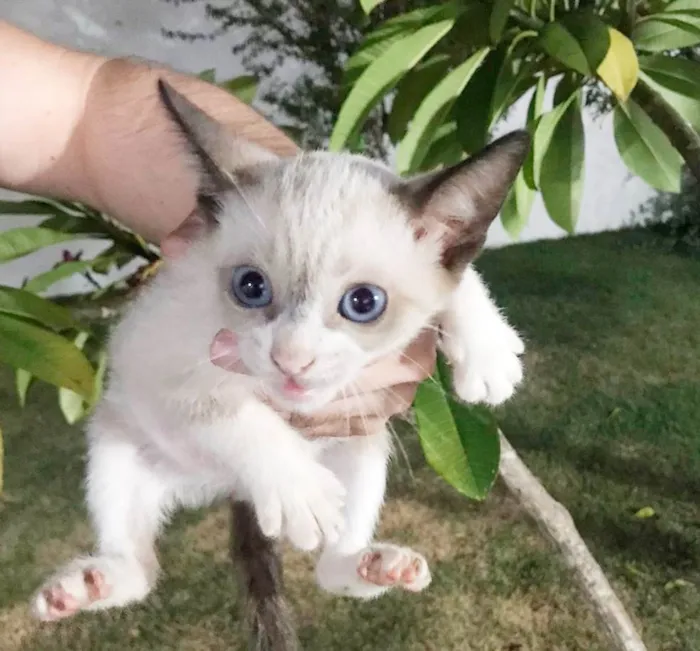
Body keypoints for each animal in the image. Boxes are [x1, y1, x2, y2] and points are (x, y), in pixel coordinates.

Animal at [30, 80, 528, 648]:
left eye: (364, 303)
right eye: (251, 287)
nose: (292, 358)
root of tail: (228, 487)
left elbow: (456, 277)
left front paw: (487, 348)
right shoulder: (150, 361)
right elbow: (228, 413)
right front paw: (297, 487)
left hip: (363, 440)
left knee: (331, 569)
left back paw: (373, 566)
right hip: (116, 439)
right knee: (140, 568)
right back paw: (88, 585)